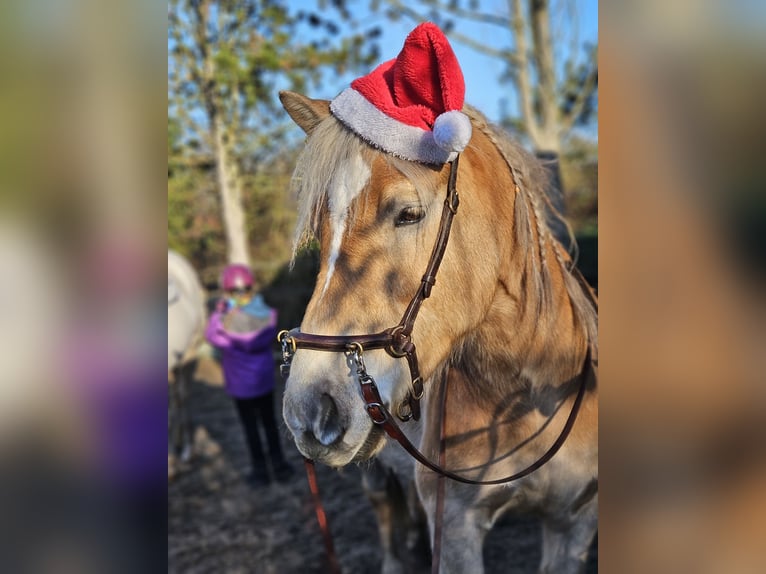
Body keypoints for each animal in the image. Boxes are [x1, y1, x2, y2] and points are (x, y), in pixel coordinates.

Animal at [278, 90, 598, 574]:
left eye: (408, 213)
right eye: (319, 229)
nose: (309, 410)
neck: (529, 393)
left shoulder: (573, 525)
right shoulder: (456, 528)